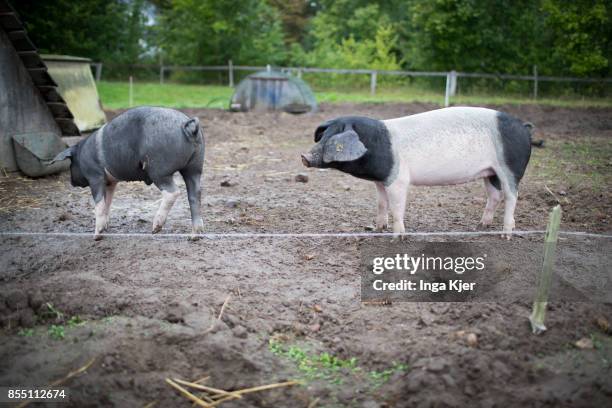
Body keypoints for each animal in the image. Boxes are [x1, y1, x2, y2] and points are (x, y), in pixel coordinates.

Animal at [50, 106, 203, 239]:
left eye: (71, 163)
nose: (72, 182)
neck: (83, 154)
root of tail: (187, 126)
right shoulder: (110, 182)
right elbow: (107, 202)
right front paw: (106, 227)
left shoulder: (95, 176)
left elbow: (99, 203)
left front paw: (97, 236)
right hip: (195, 168)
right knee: (195, 195)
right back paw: (194, 236)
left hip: (159, 170)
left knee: (173, 192)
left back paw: (155, 228)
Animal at [302, 107, 540, 239]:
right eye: (323, 137)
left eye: (333, 141)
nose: (304, 156)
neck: (375, 144)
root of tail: (524, 126)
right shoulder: (381, 180)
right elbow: (381, 203)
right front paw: (378, 229)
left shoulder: (398, 179)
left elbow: (396, 207)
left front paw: (397, 237)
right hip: (490, 172)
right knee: (495, 195)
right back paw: (480, 226)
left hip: (511, 168)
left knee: (511, 196)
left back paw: (505, 234)